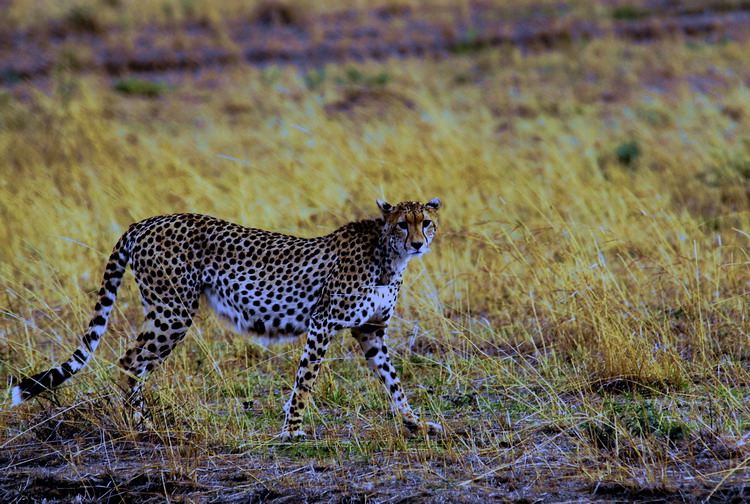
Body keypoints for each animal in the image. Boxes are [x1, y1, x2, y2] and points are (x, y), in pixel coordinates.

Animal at [11, 199, 444, 440]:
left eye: (426, 222)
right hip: (173, 311)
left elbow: (394, 382)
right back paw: (142, 426)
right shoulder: (322, 324)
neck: (387, 255)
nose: (418, 243)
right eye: (402, 223)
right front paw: (293, 430)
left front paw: (416, 425)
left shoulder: (370, 331)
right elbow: (305, 381)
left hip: (168, 310)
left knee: (132, 363)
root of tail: (146, 221)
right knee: (130, 362)